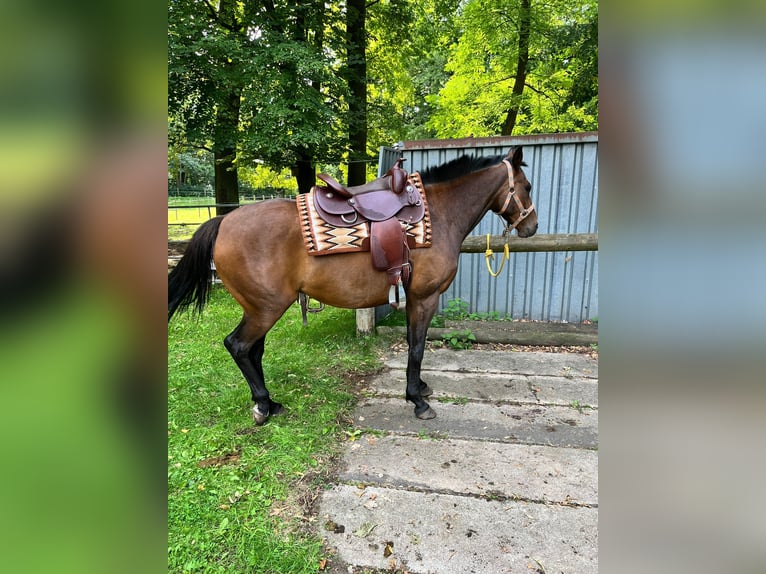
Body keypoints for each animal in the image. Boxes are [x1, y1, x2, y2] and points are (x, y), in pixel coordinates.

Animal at [168, 146, 538, 424]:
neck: (438, 214)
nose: (532, 226)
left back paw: (270, 404)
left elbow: (413, 344)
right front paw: (418, 400)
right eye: (528, 187)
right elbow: (418, 347)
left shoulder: (413, 298)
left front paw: (418, 388)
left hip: (259, 308)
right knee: (239, 346)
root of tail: (223, 220)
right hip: (266, 308)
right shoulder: (425, 297)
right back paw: (262, 405)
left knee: (253, 350)